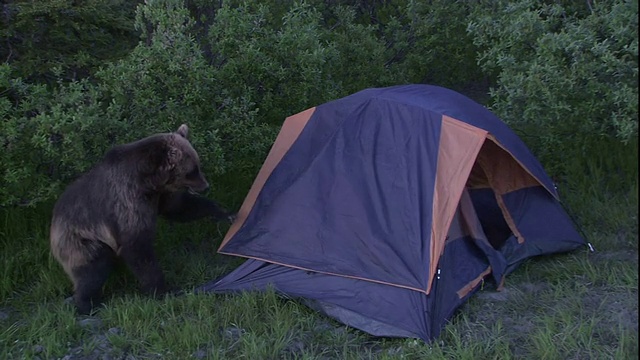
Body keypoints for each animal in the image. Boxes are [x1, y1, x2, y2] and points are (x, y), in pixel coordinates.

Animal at [49, 124, 235, 316]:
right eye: (191, 171)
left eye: (198, 165)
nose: (206, 186)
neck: (148, 182)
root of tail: (54, 223)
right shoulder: (128, 201)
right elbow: (138, 247)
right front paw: (164, 290)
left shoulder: (159, 196)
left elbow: (178, 207)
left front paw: (223, 213)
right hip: (82, 239)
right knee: (93, 269)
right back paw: (87, 304)